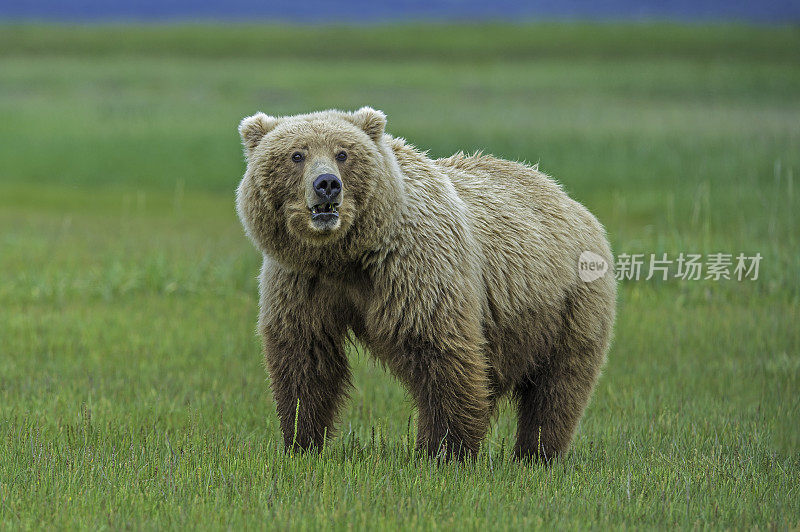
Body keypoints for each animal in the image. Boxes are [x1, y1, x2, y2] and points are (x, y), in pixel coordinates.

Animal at [234, 106, 616, 460]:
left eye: (342, 153)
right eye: (297, 154)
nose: (327, 184)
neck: (346, 255)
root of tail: (570, 200)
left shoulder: (414, 267)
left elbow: (439, 351)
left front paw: (443, 451)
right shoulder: (302, 280)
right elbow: (306, 357)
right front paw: (301, 442)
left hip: (566, 305)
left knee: (558, 387)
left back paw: (536, 453)